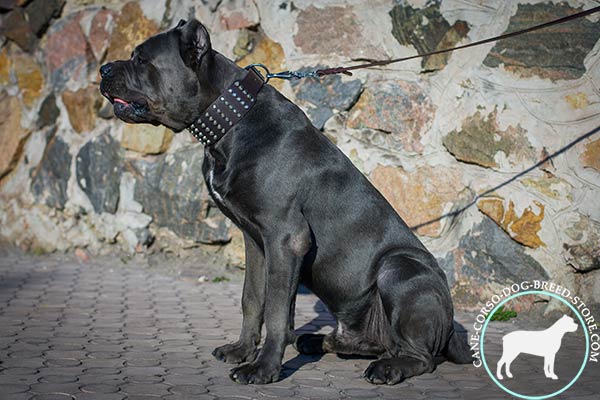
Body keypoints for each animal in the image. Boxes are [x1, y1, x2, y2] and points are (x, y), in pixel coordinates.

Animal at [99, 18, 474, 384]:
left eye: (141, 59)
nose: (103, 69)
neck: (232, 121)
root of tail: (451, 329)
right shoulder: (255, 241)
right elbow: (252, 299)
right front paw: (241, 350)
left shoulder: (285, 238)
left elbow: (278, 311)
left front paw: (263, 369)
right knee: (370, 343)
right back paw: (318, 341)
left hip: (397, 269)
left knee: (421, 356)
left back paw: (388, 368)